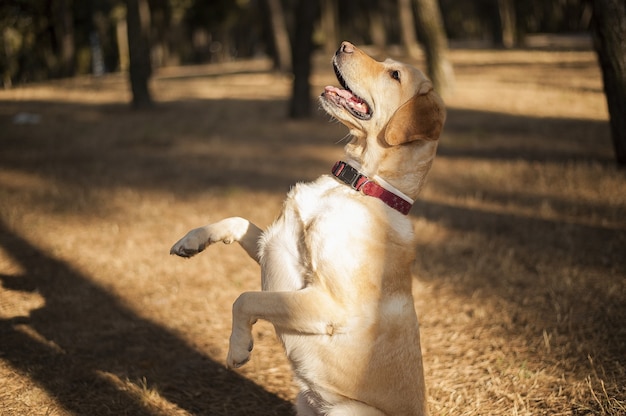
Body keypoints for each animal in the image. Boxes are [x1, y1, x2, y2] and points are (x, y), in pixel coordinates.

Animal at [171, 40, 444, 414]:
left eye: (395, 75)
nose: (343, 44)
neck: (356, 185)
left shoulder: (328, 303)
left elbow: (245, 298)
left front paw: (238, 347)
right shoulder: (277, 243)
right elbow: (238, 222)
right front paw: (191, 241)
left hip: (346, 409)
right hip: (302, 401)